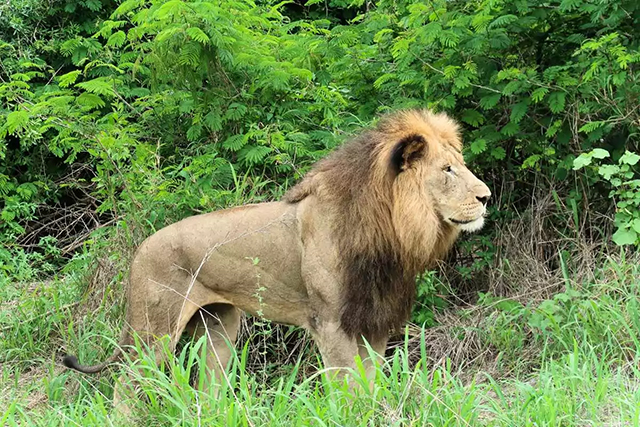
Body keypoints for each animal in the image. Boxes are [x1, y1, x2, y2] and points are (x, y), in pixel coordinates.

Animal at [62, 108, 490, 412]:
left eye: (461, 165)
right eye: (447, 170)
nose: (486, 197)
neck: (391, 230)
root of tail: (139, 250)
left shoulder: (373, 322)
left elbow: (369, 388)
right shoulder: (331, 323)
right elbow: (347, 391)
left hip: (220, 327)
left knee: (208, 386)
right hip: (155, 330)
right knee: (125, 384)